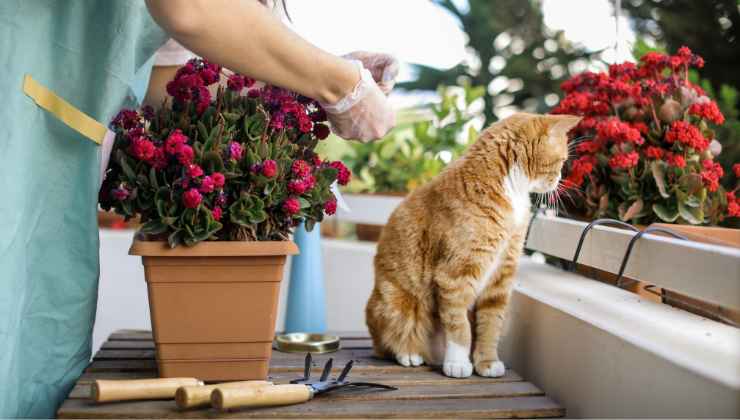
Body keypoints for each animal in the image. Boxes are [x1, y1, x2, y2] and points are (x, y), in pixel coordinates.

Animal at [368, 113, 580, 378]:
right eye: (562, 161)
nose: (560, 179)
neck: (509, 188)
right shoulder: (456, 275)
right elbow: (460, 327)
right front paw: (458, 363)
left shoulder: (501, 278)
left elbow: (490, 325)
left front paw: (487, 362)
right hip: (395, 301)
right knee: (391, 338)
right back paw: (409, 353)